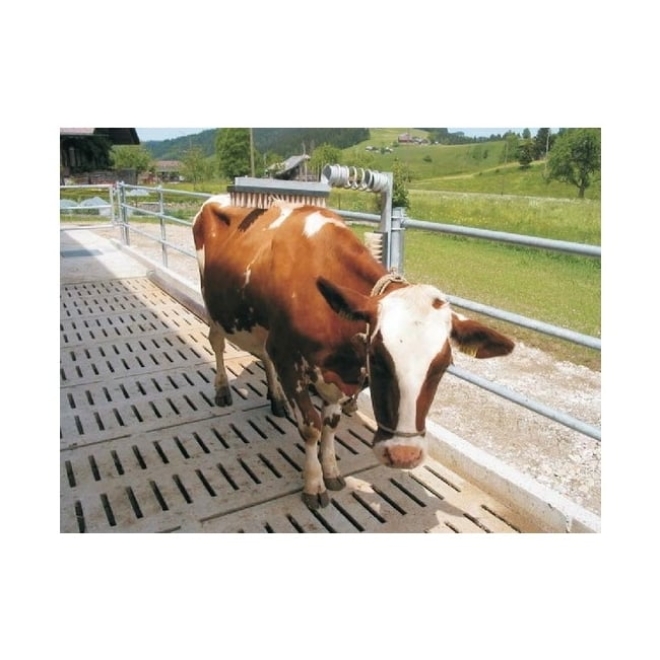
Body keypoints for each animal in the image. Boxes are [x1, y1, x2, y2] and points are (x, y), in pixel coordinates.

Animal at [193, 194, 514, 509]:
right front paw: (314, 484)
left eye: (443, 366)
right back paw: (222, 390)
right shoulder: (287, 359)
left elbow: (330, 425)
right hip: (214, 307)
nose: (404, 455)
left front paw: (332, 471)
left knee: (261, 353)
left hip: (261, 328)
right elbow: (311, 426)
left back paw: (277, 399)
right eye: (378, 358)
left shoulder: (335, 375)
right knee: (217, 343)